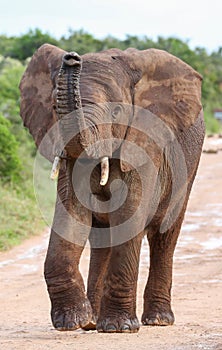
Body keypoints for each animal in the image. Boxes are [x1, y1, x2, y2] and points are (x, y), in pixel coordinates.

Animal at [19, 42, 205, 332]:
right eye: (53, 107)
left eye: (116, 112)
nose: (72, 58)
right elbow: (71, 215)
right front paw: (71, 322)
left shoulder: (145, 144)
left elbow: (129, 214)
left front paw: (120, 327)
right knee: (101, 239)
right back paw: (92, 323)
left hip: (188, 167)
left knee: (165, 235)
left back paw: (158, 320)